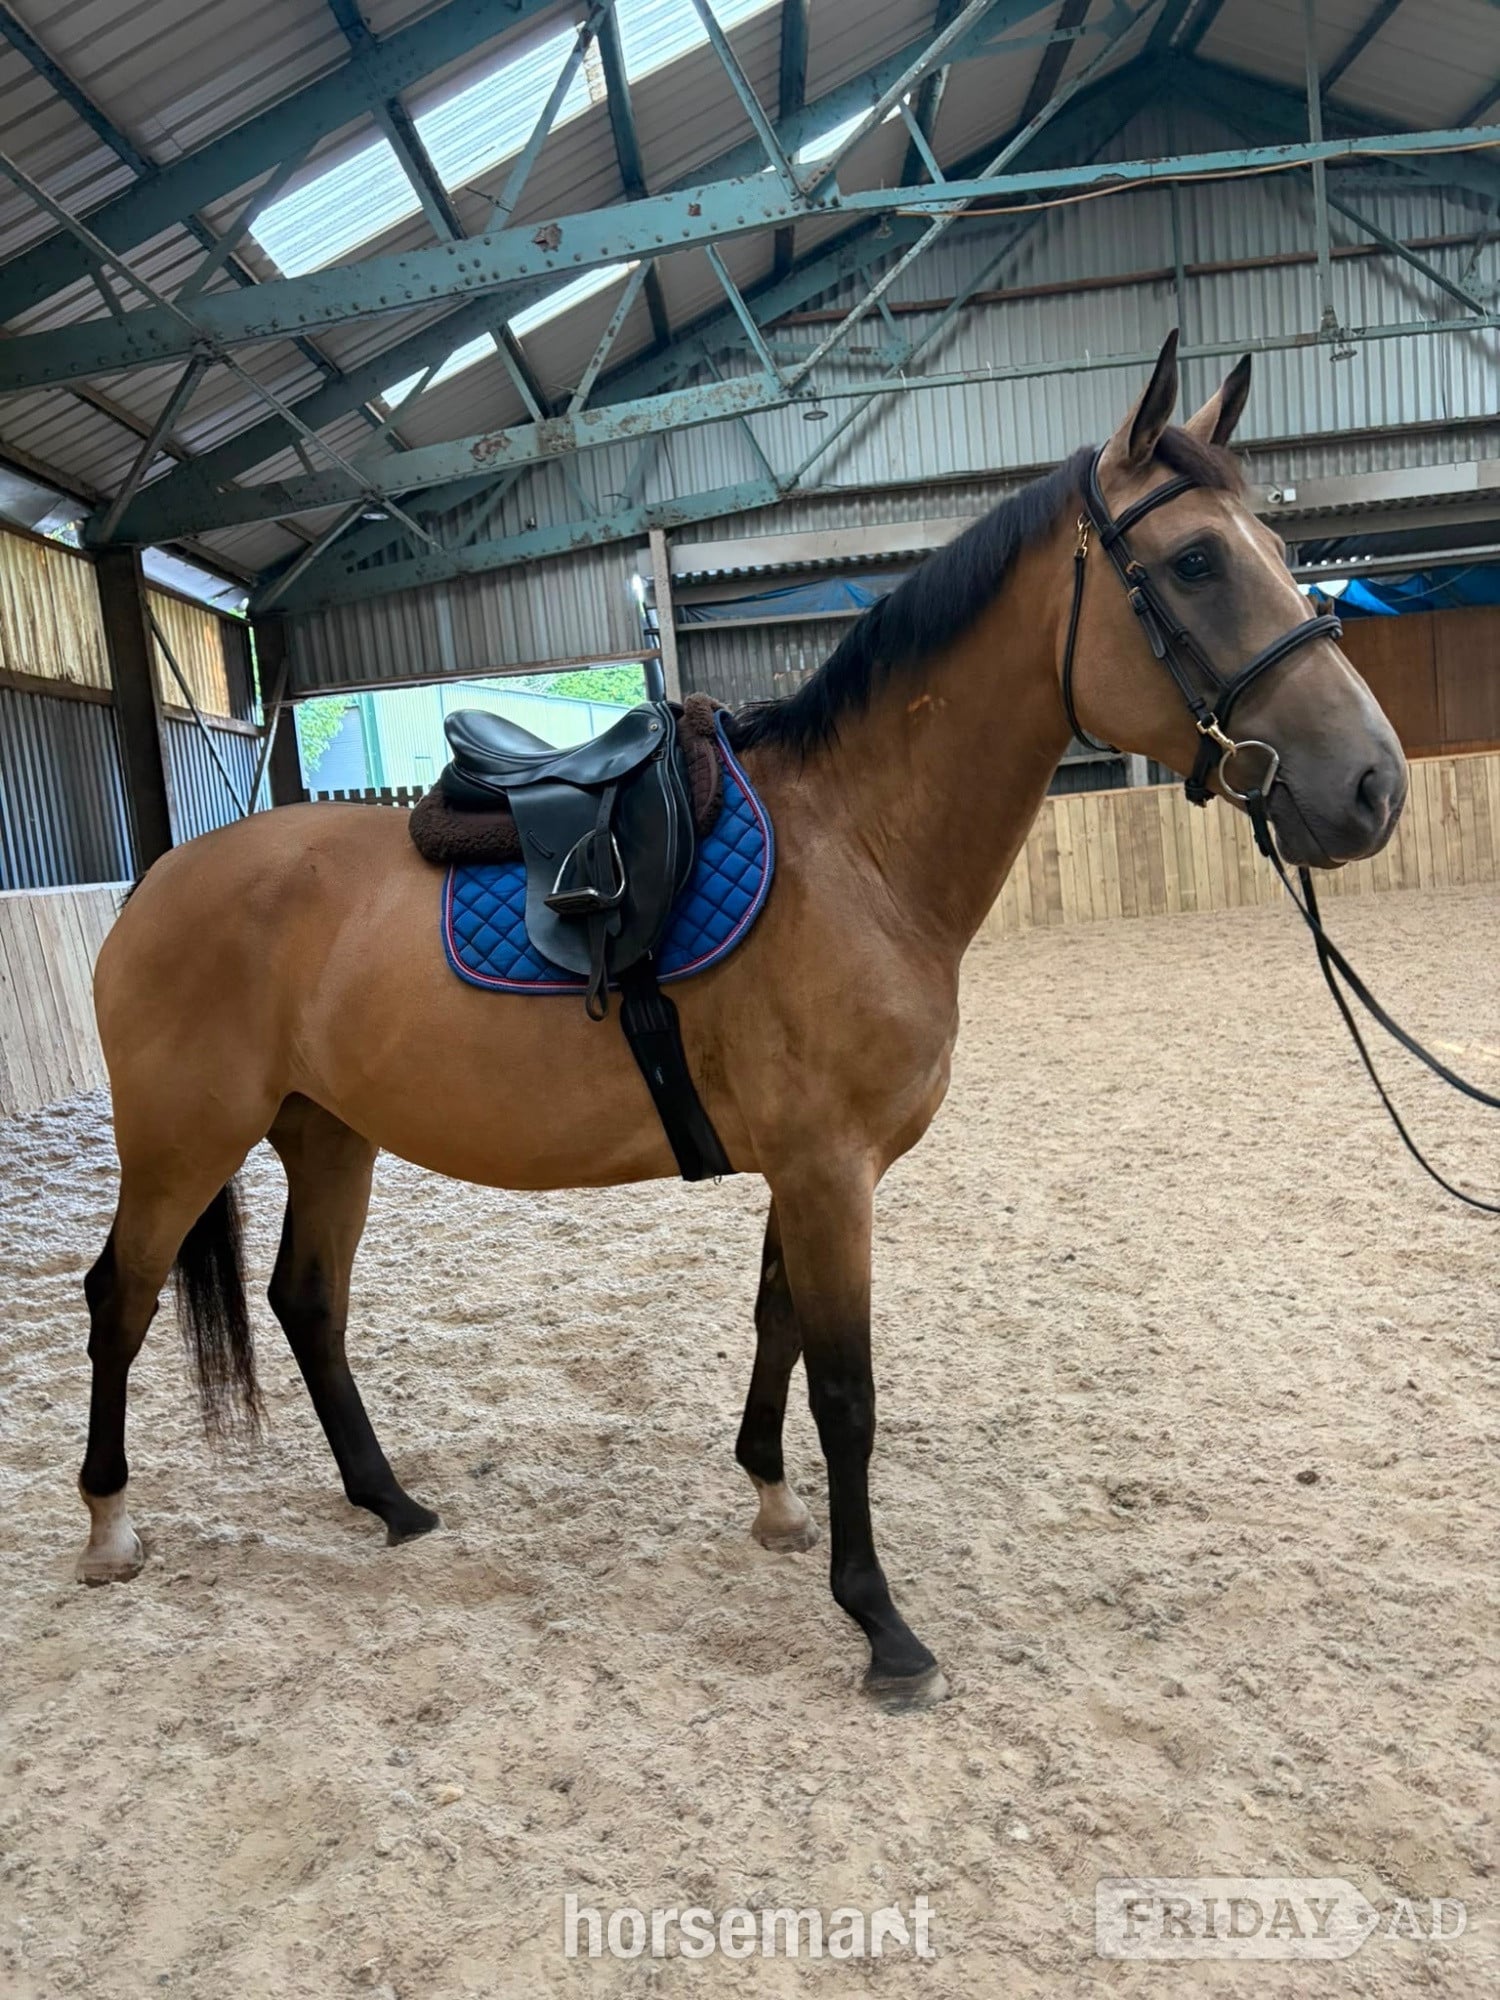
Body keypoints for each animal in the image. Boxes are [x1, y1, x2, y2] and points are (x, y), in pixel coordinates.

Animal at [76, 333, 1406, 1708]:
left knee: (306, 1302)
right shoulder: (829, 1169)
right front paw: (880, 1622)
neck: (857, 850)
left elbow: (778, 1331)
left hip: (327, 1131)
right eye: (1196, 560)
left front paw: (772, 1501)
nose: (1373, 784)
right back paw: (111, 1526)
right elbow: (848, 1388)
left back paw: (388, 1500)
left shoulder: (807, 1165)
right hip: (183, 1140)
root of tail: (158, 881)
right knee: (120, 1294)